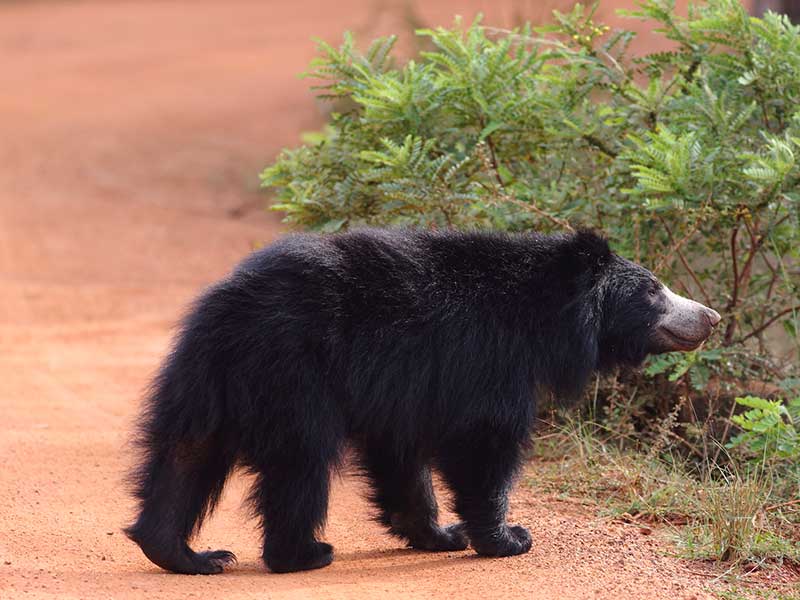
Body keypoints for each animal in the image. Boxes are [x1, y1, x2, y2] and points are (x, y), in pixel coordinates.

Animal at [124, 228, 720, 575]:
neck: (543, 316)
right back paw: (303, 555)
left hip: (208, 380)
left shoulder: (407, 384)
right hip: (293, 376)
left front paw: (440, 535)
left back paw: (187, 555)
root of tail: (230, 311)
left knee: (186, 453)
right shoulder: (483, 357)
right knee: (300, 464)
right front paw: (508, 537)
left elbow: (401, 455)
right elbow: (484, 445)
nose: (710, 316)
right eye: (653, 290)